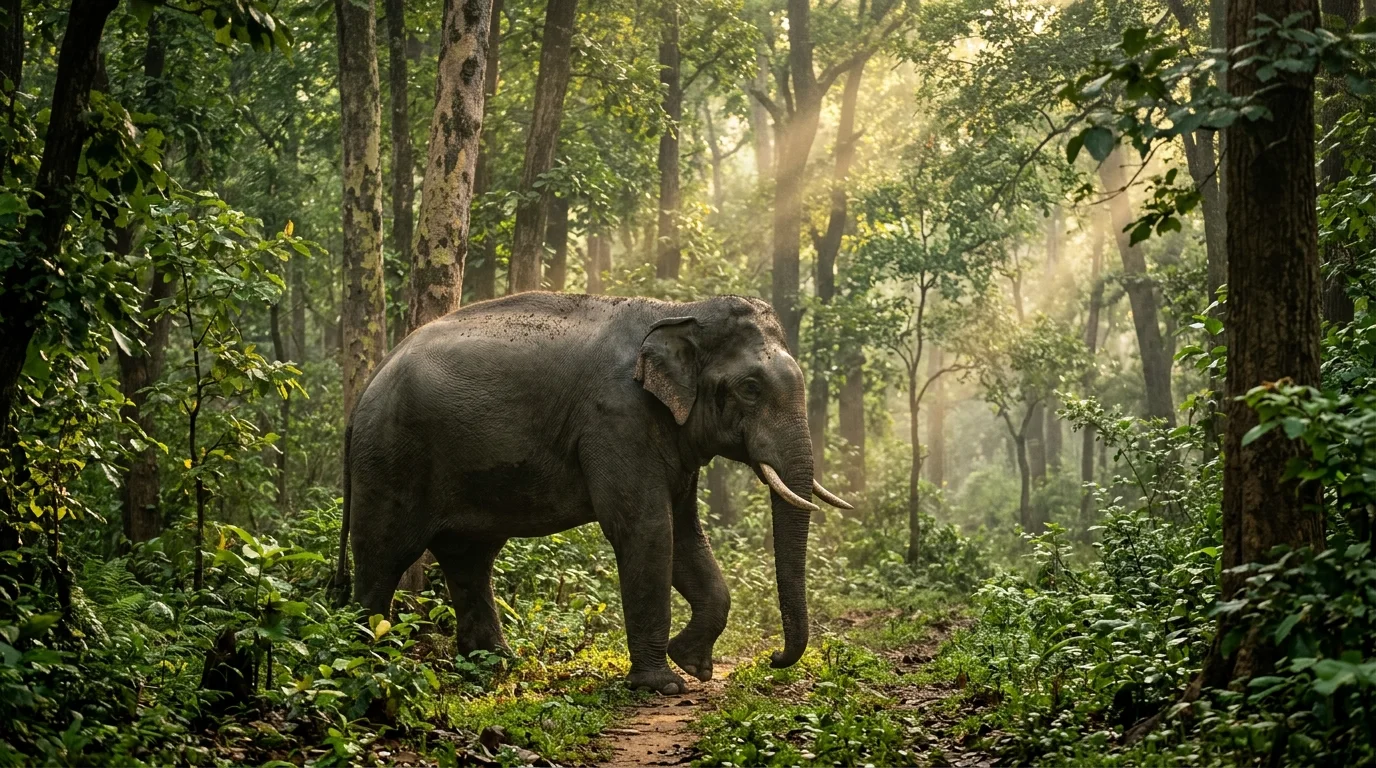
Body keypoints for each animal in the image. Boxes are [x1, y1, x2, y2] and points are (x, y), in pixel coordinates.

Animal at [332, 292, 852, 694]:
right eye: (749, 388)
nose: (774, 660)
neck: (681, 308)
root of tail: (363, 393)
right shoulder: (616, 418)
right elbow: (645, 528)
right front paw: (664, 685)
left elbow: (685, 534)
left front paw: (692, 664)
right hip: (391, 458)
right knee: (383, 554)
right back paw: (367, 662)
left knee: (469, 558)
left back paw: (498, 664)